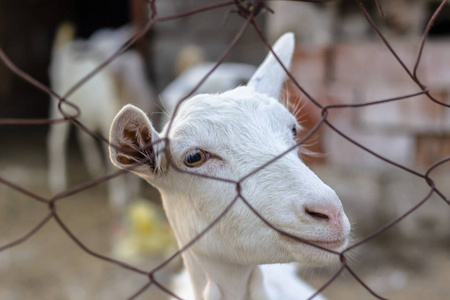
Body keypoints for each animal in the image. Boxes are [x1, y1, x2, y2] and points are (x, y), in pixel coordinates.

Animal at [46, 22, 154, 209]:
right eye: (100, 55)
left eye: (120, 46)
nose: (116, 71)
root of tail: (66, 50)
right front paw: (119, 197)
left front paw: (133, 192)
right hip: (58, 104)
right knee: (55, 140)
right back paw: (57, 181)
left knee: (83, 137)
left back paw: (95, 168)